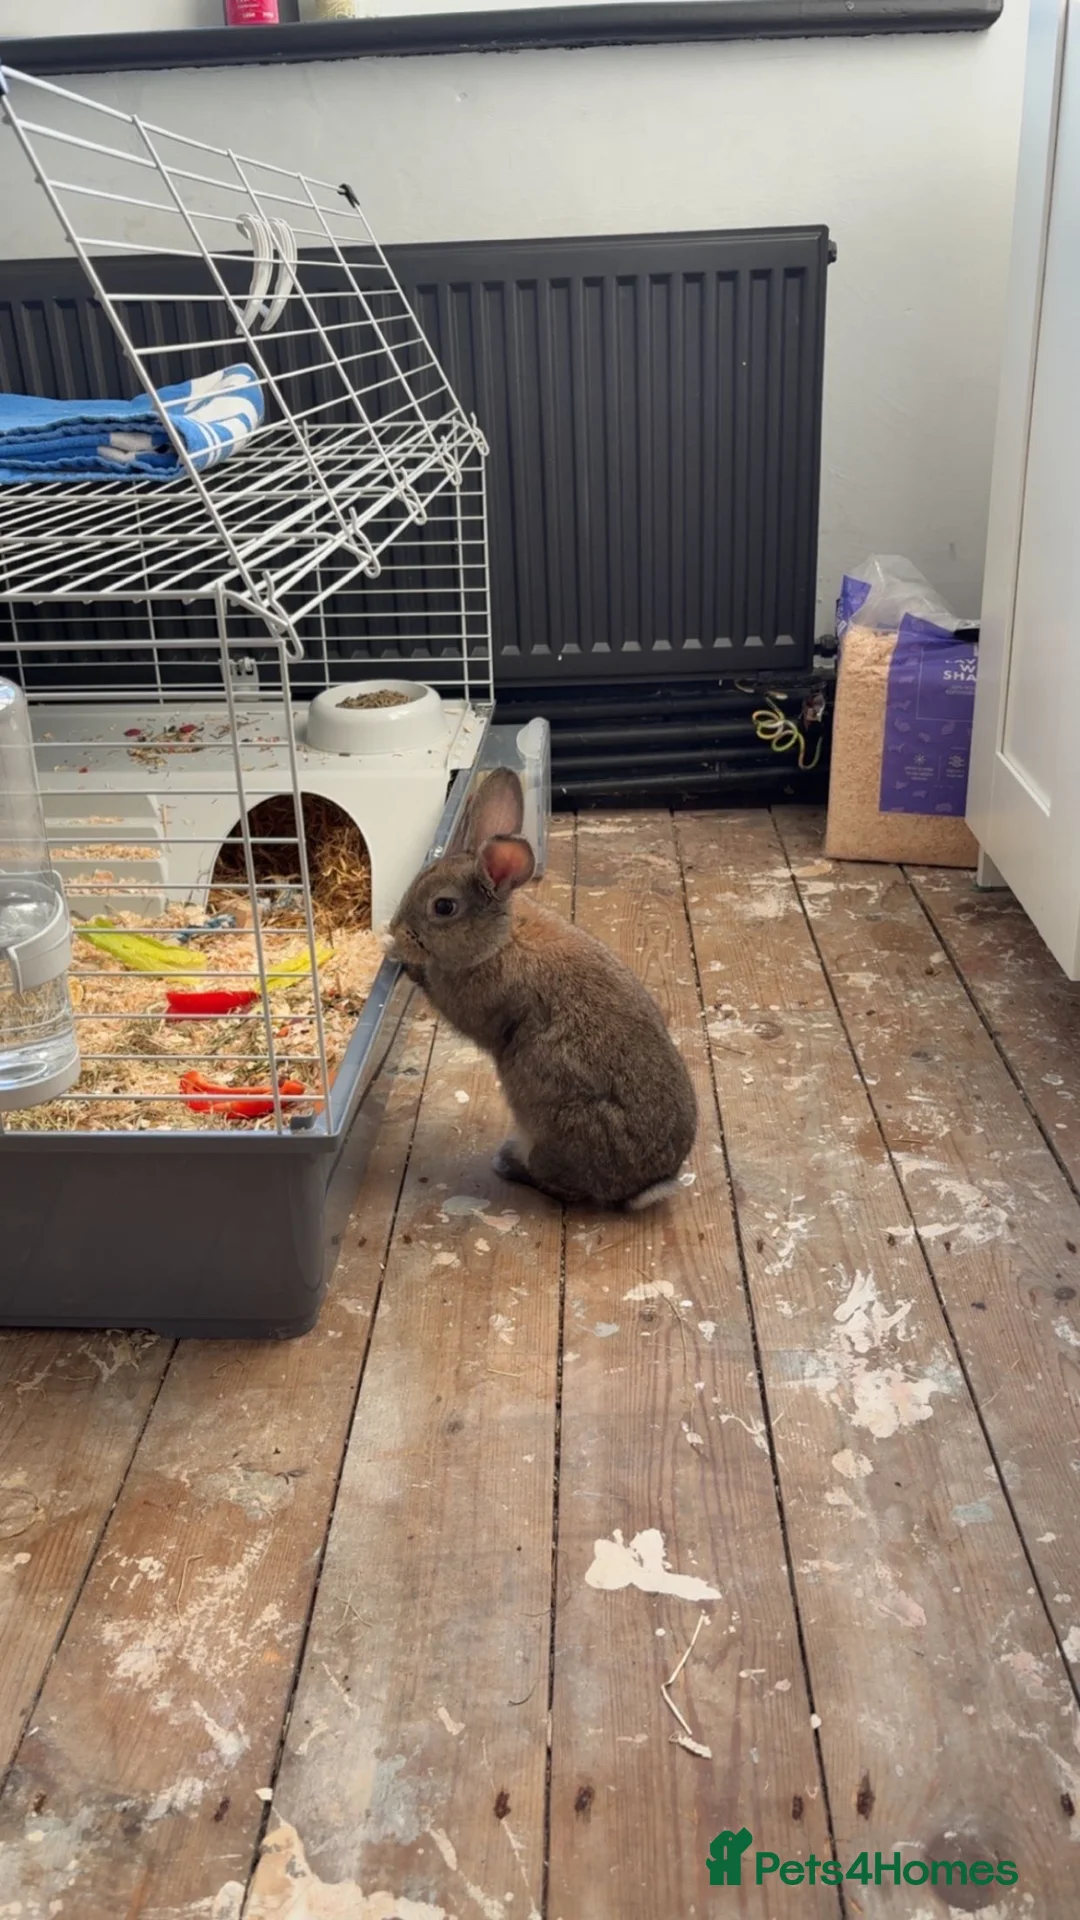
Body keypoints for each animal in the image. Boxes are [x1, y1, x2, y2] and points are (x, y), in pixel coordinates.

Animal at [387, 767, 697, 1210]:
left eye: (443, 907)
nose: (395, 929)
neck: (500, 940)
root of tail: (646, 1186)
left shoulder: (478, 1000)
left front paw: (400, 956)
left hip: (559, 1125)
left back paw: (509, 1164)